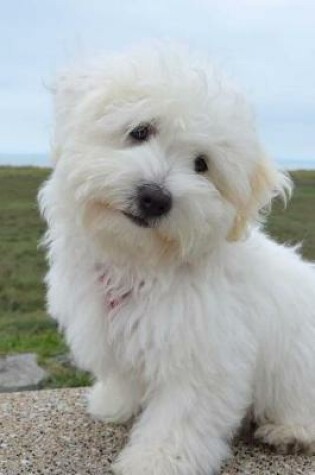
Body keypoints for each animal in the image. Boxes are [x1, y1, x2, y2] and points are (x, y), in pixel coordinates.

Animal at [39, 45, 315, 475]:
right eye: (140, 131)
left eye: (202, 164)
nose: (154, 197)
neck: (141, 264)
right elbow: (125, 375)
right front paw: (113, 402)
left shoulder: (203, 355)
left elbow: (180, 417)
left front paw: (155, 460)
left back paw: (291, 430)